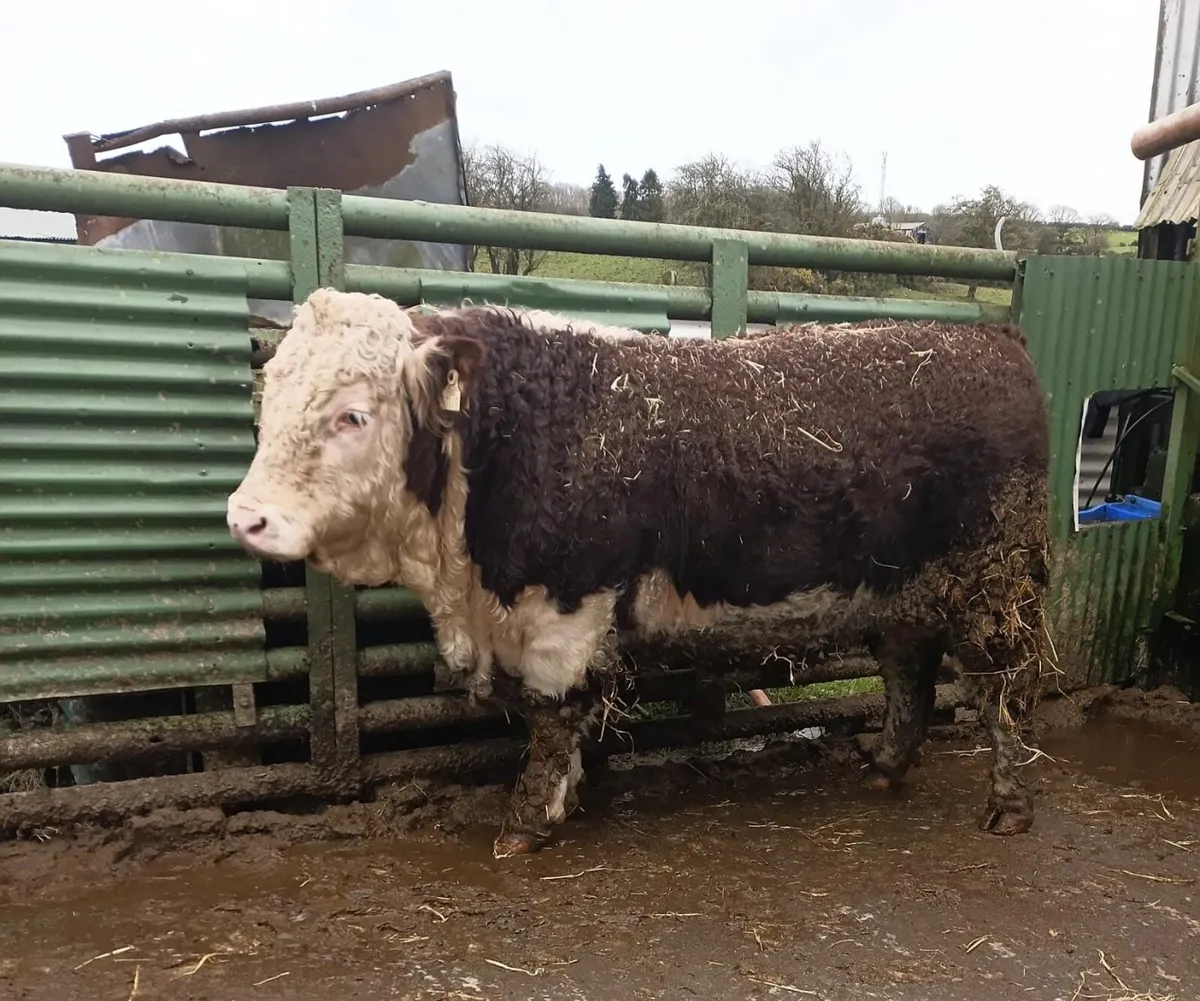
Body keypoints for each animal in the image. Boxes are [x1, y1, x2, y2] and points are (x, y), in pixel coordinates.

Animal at [227, 289, 1052, 858]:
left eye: (352, 414)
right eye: (271, 405)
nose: (246, 516)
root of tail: (994, 339)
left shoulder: (564, 611)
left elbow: (551, 716)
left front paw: (528, 821)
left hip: (994, 587)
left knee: (1004, 691)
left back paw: (1010, 805)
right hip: (902, 594)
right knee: (910, 678)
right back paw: (883, 766)